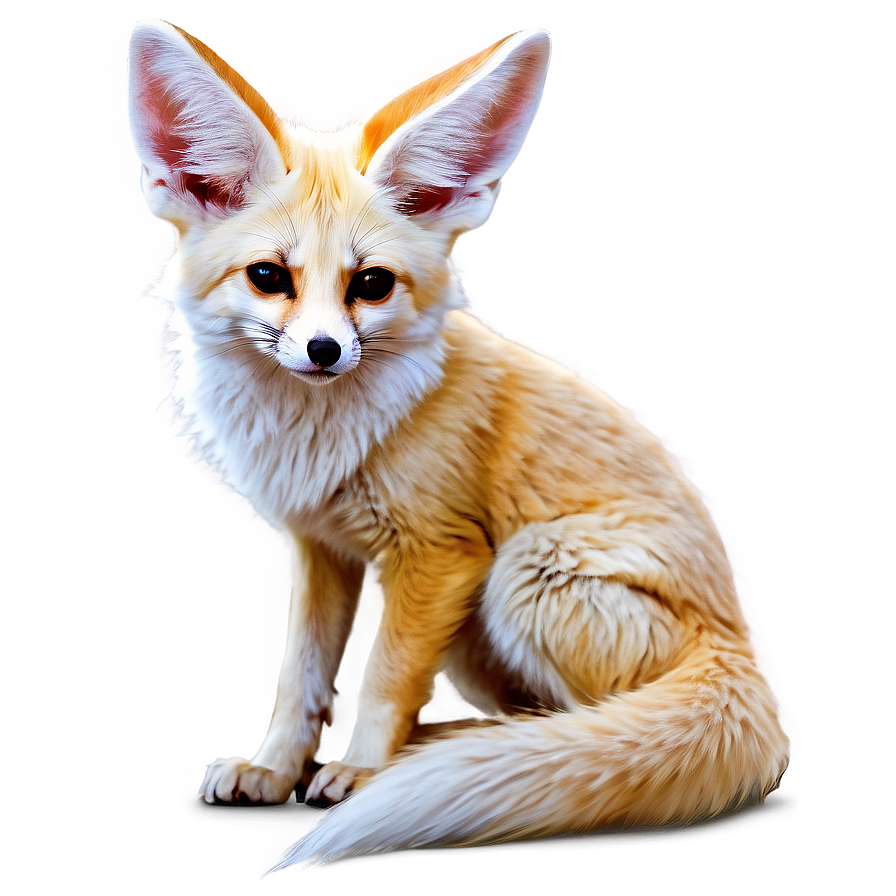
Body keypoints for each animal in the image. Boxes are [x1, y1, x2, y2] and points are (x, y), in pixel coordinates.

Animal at [126, 18, 789, 871]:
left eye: (371, 285)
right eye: (269, 277)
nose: (323, 351)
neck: (321, 438)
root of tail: (743, 648)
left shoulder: (441, 555)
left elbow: (382, 680)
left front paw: (360, 774)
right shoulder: (321, 548)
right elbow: (300, 676)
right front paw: (273, 769)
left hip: (522, 576)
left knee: (605, 731)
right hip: (481, 630)